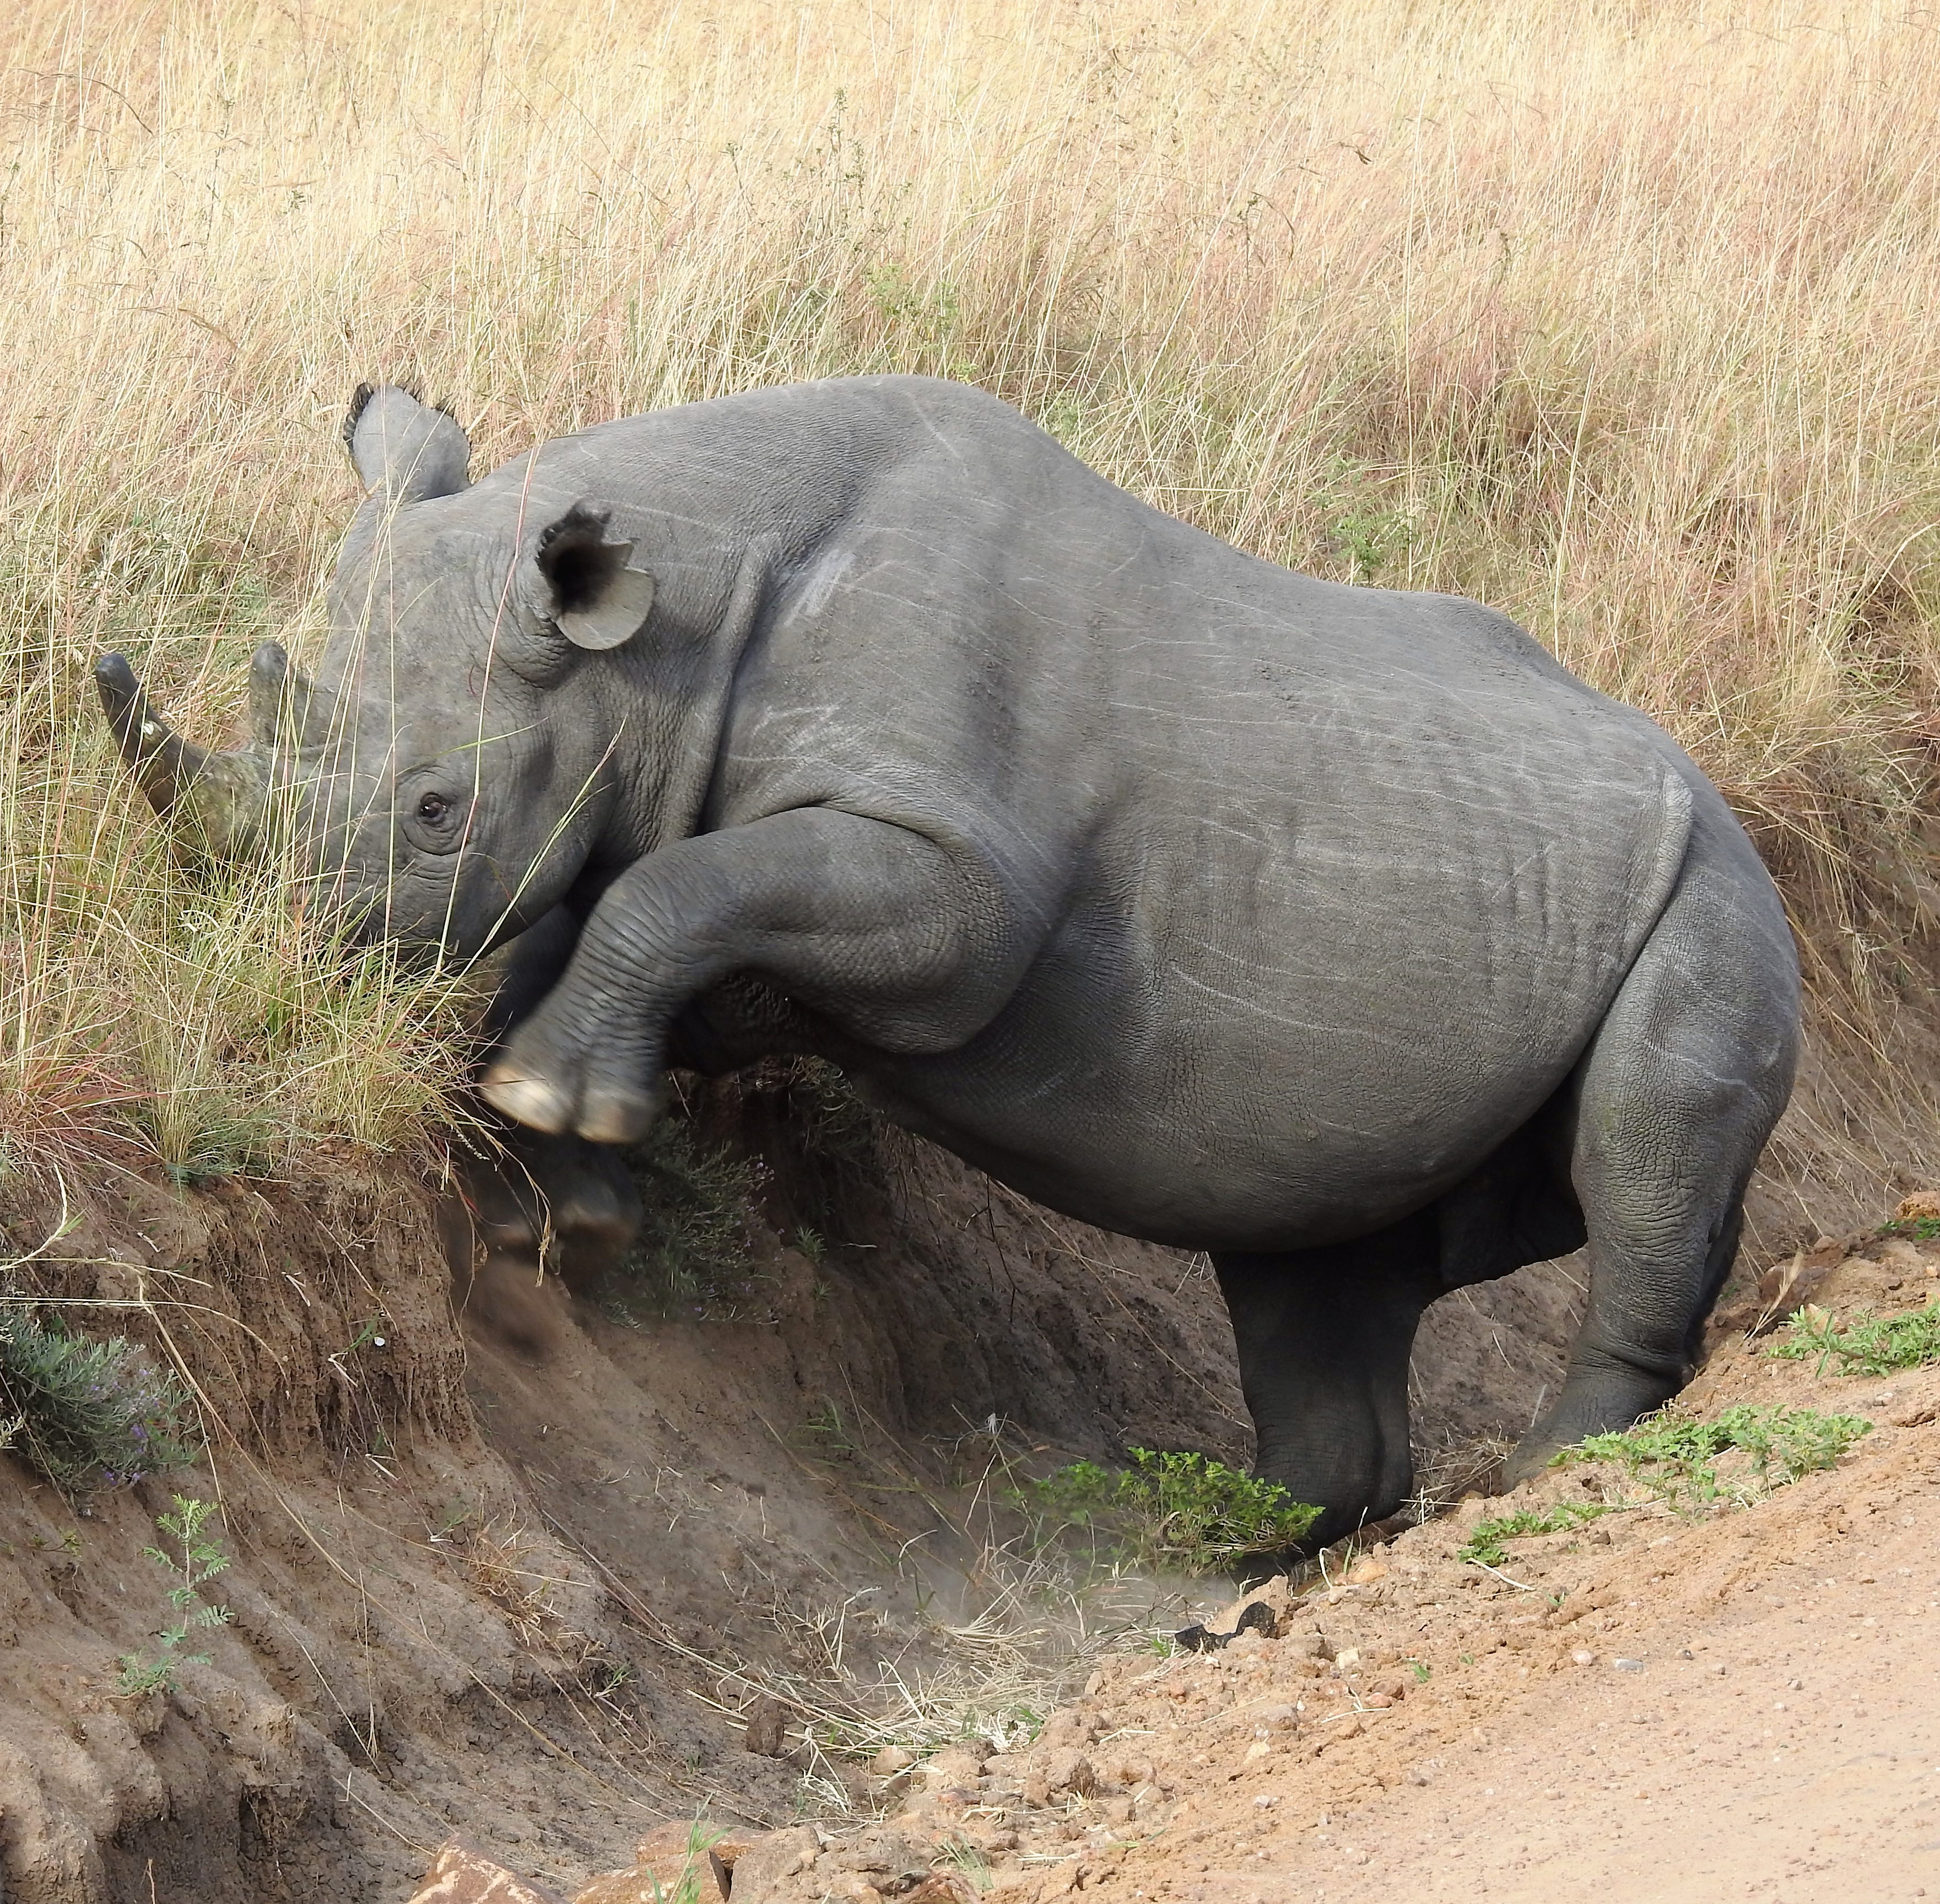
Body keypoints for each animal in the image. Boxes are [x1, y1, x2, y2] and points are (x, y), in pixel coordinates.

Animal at [97, 375, 1799, 1547]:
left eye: (438, 811)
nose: (290, 961)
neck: (670, 621)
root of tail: (1724, 802)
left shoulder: (959, 884)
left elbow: (674, 892)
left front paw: (549, 1110)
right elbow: (620, 917)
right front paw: (555, 1196)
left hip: (1719, 893)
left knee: (1646, 1146)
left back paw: (1555, 1476)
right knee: (1311, 1259)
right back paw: (1252, 1554)